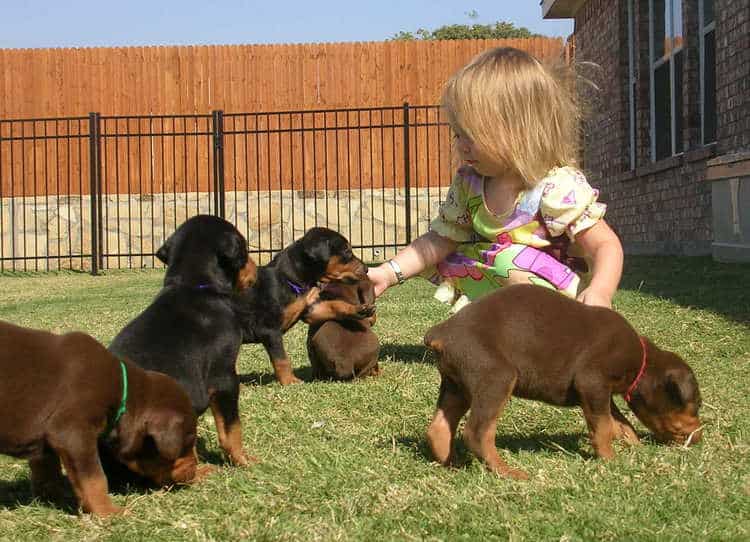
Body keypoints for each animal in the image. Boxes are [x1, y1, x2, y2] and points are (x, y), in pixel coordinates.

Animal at [0, 324, 203, 520]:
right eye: (187, 443)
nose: (194, 471)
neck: (121, 392)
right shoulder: (73, 433)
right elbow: (95, 478)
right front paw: (108, 512)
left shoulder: (46, 442)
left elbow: (46, 469)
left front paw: (53, 498)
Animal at [107, 217, 258, 468]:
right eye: (245, 250)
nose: (257, 268)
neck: (192, 285)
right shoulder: (223, 376)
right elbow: (231, 428)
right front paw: (242, 460)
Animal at [236, 226, 374, 386]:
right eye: (347, 251)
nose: (366, 269)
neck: (287, 280)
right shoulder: (270, 331)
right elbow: (282, 359)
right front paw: (290, 381)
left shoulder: (310, 310)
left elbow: (334, 305)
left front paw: (358, 310)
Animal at [424, 284, 704, 480]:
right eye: (697, 405)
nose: (699, 437)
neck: (642, 362)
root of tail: (441, 332)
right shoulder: (592, 382)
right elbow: (603, 427)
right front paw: (610, 459)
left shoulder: (599, 394)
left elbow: (620, 422)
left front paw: (636, 448)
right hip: (495, 377)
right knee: (477, 432)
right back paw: (507, 472)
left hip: (456, 386)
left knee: (439, 427)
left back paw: (451, 464)